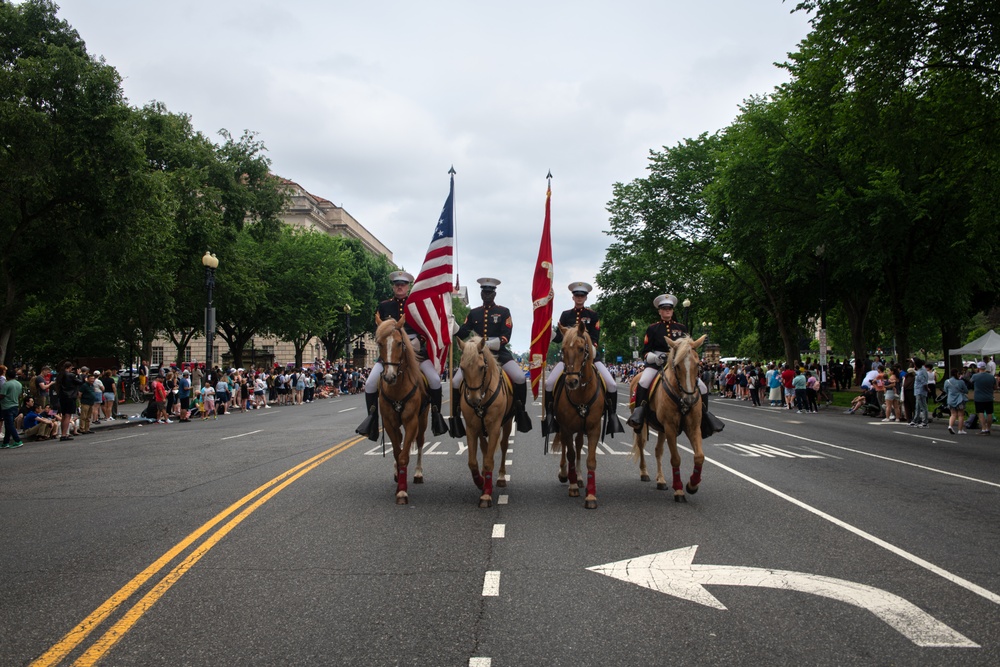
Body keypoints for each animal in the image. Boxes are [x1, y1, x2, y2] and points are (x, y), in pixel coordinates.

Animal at [372, 316, 426, 504]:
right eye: (379, 343)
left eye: (399, 343)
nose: (389, 377)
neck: (397, 388)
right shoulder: (389, 423)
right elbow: (397, 453)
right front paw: (399, 482)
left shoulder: (411, 421)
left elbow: (403, 456)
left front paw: (402, 492)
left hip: (423, 420)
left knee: (420, 442)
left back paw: (418, 473)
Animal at [458, 336, 512, 508]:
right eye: (462, 368)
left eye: (482, 367)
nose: (474, 400)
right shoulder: (471, 428)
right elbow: (473, 462)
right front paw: (481, 482)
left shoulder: (495, 428)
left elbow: (489, 460)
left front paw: (486, 494)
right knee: (485, 447)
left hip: (507, 424)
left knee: (503, 446)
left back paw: (501, 476)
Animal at [552, 320, 604, 508]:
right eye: (563, 349)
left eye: (582, 349)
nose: (572, 381)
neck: (582, 393)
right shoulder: (566, 427)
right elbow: (571, 454)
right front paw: (573, 485)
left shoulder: (594, 428)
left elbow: (591, 459)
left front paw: (591, 495)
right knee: (566, 447)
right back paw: (564, 473)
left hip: (581, 428)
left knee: (580, 444)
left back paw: (580, 477)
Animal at [628, 336, 708, 504]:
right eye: (677, 366)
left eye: (698, 364)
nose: (689, 400)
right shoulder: (670, 427)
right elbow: (676, 459)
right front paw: (678, 490)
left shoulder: (693, 427)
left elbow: (699, 456)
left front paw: (692, 484)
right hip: (642, 425)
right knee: (641, 445)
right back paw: (644, 472)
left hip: (661, 428)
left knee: (658, 451)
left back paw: (661, 480)